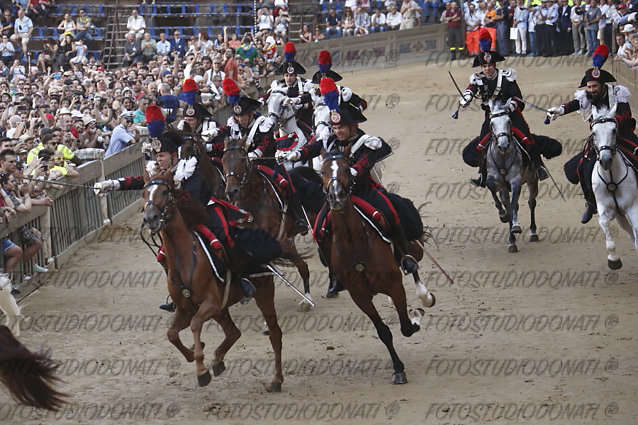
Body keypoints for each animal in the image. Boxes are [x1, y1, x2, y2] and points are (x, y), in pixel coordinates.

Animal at [145, 170, 288, 390]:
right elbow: (171, 334)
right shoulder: (186, 309)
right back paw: (218, 360)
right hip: (222, 308)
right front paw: (194, 354)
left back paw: (276, 380)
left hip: (263, 293)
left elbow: (195, 325)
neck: (185, 257)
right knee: (233, 332)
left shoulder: (210, 303)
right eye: (144, 193)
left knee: (275, 334)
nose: (150, 217)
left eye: (164, 192)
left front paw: (201, 370)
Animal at [322, 152, 438, 384]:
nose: (336, 197)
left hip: (412, 246)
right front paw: (398, 369)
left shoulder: (394, 286)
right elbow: (384, 332)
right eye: (322, 171)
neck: (356, 246)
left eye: (347, 169)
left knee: (412, 265)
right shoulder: (360, 296)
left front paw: (416, 315)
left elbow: (406, 327)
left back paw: (424, 296)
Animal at [490, 99, 540, 252]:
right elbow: (496, 194)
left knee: (531, 202)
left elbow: (513, 206)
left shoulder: (515, 181)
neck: (503, 158)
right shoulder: (498, 184)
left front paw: (516, 227)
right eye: (491, 123)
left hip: (532, 180)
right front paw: (503, 216)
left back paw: (533, 232)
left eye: (509, 121)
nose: (503, 145)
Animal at [592, 105, 638, 268]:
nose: (605, 160)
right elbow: (604, 222)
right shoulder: (605, 207)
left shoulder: (633, 207)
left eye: (614, 130)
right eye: (594, 132)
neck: (611, 179)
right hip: (620, 216)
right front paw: (613, 259)